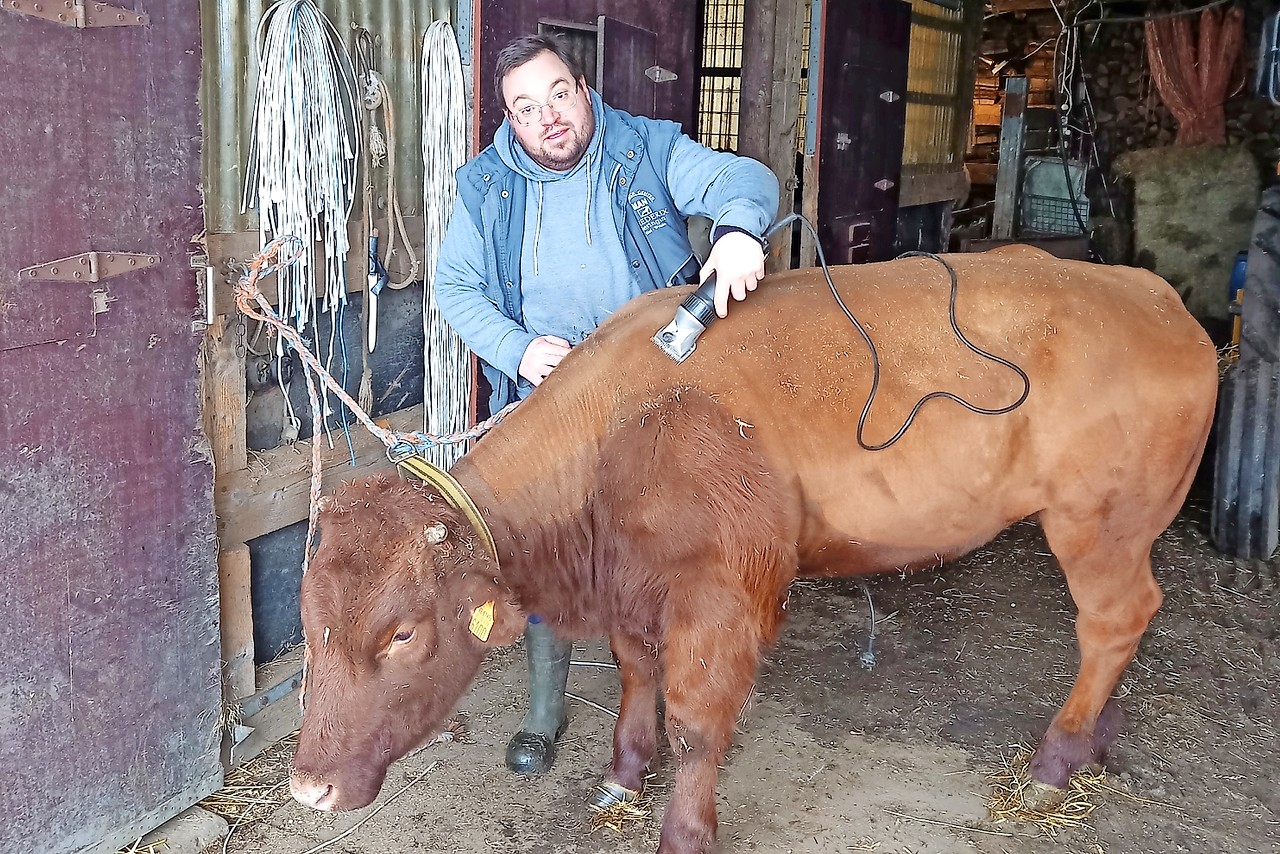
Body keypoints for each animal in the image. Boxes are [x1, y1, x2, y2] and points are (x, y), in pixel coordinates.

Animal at [285, 248, 1213, 854]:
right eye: (309, 628)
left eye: (403, 634)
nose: (307, 787)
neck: (622, 423)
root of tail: (1147, 293)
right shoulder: (636, 587)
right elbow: (637, 676)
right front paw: (624, 771)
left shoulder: (721, 599)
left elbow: (698, 723)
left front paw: (685, 832)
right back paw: (1095, 739)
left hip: (1099, 524)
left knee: (1114, 622)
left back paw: (1056, 759)